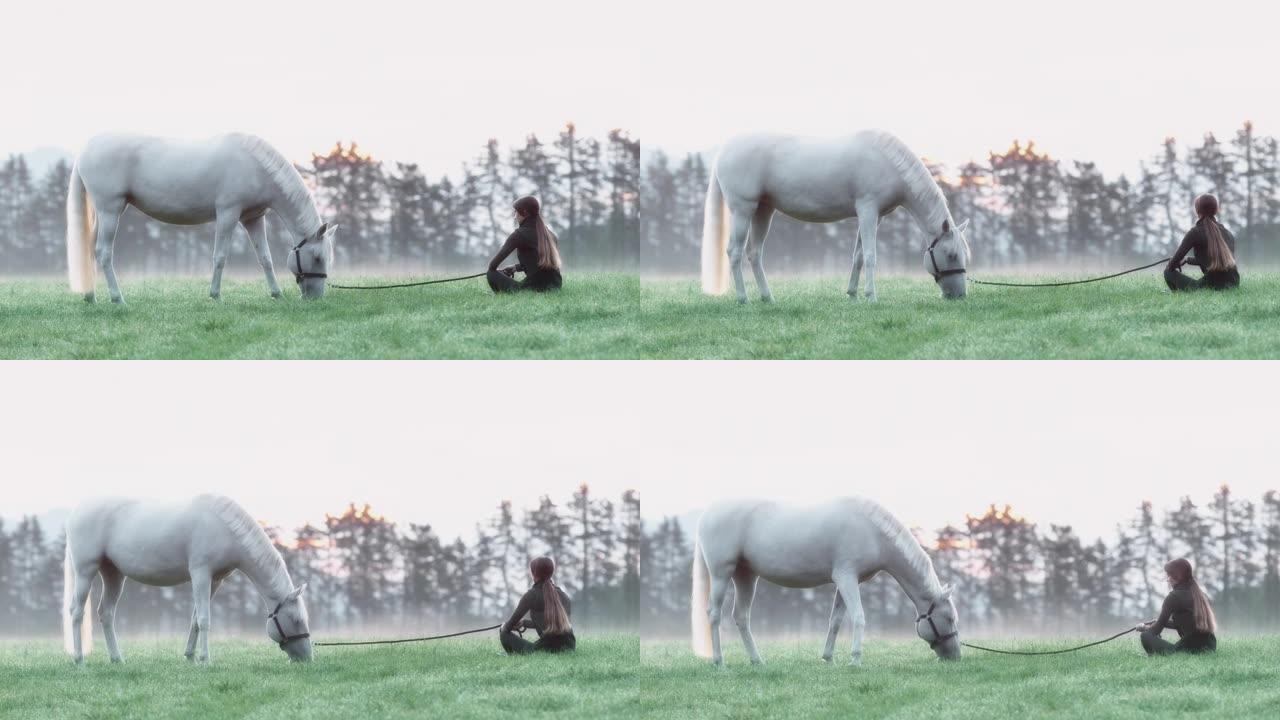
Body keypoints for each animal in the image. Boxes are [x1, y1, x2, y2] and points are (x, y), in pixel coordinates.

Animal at [63, 491, 313, 661]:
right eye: (296, 620)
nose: (307, 659)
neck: (222, 527)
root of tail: (77, 510)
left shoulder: (215, 580)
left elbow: (195, 619)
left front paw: (190, 657)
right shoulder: (200, 573)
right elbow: (204, 619)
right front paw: (205, 660)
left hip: (113, 574)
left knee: (106, 613)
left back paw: (117, 660)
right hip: (86, 570)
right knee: (76, 612)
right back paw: (79, 659)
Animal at [65, 132, 337, 302]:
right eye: (317, 257)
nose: (315, 297)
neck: (254, 166)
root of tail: (85, 150)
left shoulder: (253, 218)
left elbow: (265, 259)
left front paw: (276, 294)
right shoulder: (228, 213)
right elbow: (220, 257)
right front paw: (215, 295)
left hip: (104, 214)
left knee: (90, 251)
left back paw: (91, 297)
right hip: (111, 211)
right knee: (103, 253)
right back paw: (117, 298)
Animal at [691, 497, 962, 666]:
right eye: (949, 618)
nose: (956, 656)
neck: (872, 531)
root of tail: (707, 513)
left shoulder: (847, 582)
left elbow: (836, 621)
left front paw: (829, 658)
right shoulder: (846, 577)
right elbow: (859, 617)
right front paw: (855, 659)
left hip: (746, 577)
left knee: (741, 617)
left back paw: (757, 661)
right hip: (721, 574)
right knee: (714, 614)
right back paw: (719, 662)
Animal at [701, 130, 967, 301]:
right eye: (951, 255)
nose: (960, 296)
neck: (887, 163)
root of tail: (724, 150)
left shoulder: (874, 216)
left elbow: (858, 256)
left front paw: (852, 294)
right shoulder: (868, 210)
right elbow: (870, 255)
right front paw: (871, 296)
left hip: (763, 211)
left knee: (754, 253)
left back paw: (768, 298)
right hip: (742, 210)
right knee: (734, 252)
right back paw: (743, 298)